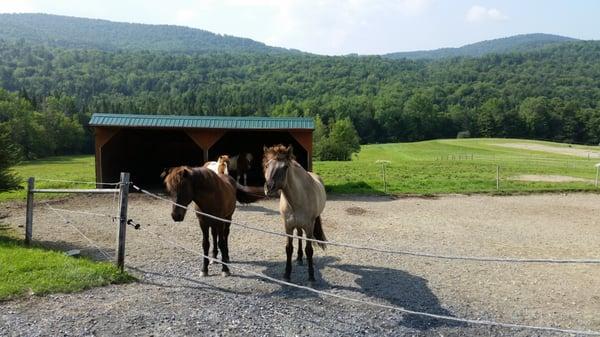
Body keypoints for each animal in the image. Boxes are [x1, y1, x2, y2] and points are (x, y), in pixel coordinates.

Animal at [264, 144, 328, 280]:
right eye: (266, 165)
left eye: (285, 167)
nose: (269, 188)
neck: (298, 198)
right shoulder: (288, 226)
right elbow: (289, 248)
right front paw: (287, 274)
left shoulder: (309, 226)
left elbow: (309, 250)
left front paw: (311, 276)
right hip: (297, 224)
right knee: (299, 235)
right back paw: (299, 258)